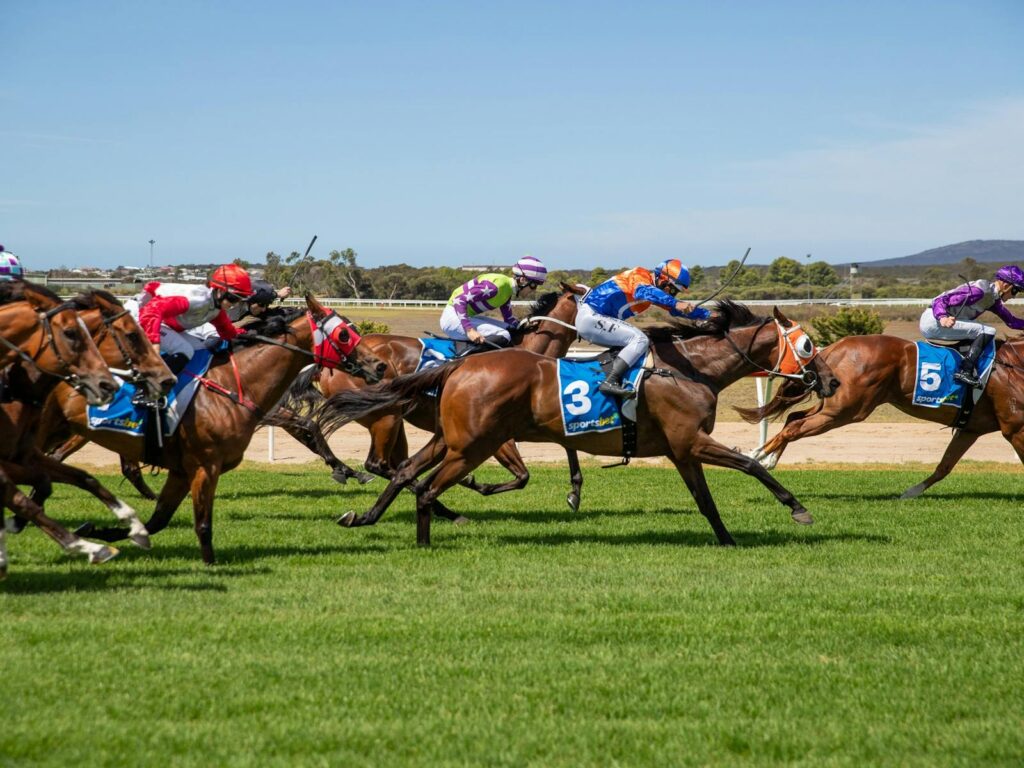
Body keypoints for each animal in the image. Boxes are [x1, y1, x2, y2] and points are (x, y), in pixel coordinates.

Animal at [48, 294, 385, 565]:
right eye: (344, 334)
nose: (379, 365)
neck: (234, 381)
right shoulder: (206, 463)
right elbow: (309, 428)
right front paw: (344, 470)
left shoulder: (185, 468)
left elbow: (158, 519)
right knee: (57, 457)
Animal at [321, 301, 839, 548]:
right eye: (808, 345)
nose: (832, 380)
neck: (690, 368)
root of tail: (460, 366)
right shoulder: (692, 441)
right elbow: (753, 466)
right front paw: (798, 509)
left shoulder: (681, 450)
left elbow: (707, 502)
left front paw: (728, 541)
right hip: (472, 444)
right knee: (424, 487)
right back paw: (426, 541)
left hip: (451, 438)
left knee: (406, 473)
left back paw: (364, 517)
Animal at [745, 335, 1024, 499]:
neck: (1015, 364)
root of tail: (835, 346)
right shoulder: (1015, 428)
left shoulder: (971, 428)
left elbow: (944, 466)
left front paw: (910, 492)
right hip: (846, 409)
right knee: (796, 426)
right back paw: (756, 455)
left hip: (833, 403)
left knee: (794, 418)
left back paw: (768, 459)